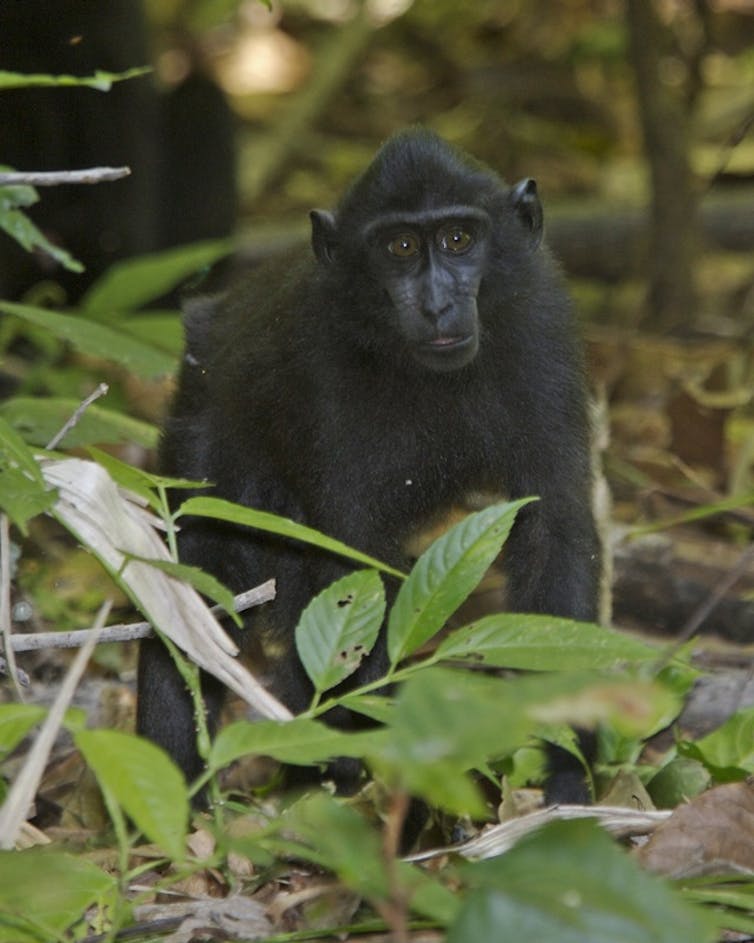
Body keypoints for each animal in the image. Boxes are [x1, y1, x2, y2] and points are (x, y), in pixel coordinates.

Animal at [137, 128, 602, 802]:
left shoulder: (542, 328)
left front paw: (570, 766)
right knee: (193, 575)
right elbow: (352, 556)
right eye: (400, 247)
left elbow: (554, 530)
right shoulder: (321, 357)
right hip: (199, 423)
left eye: (459, 239)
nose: (437, 305)